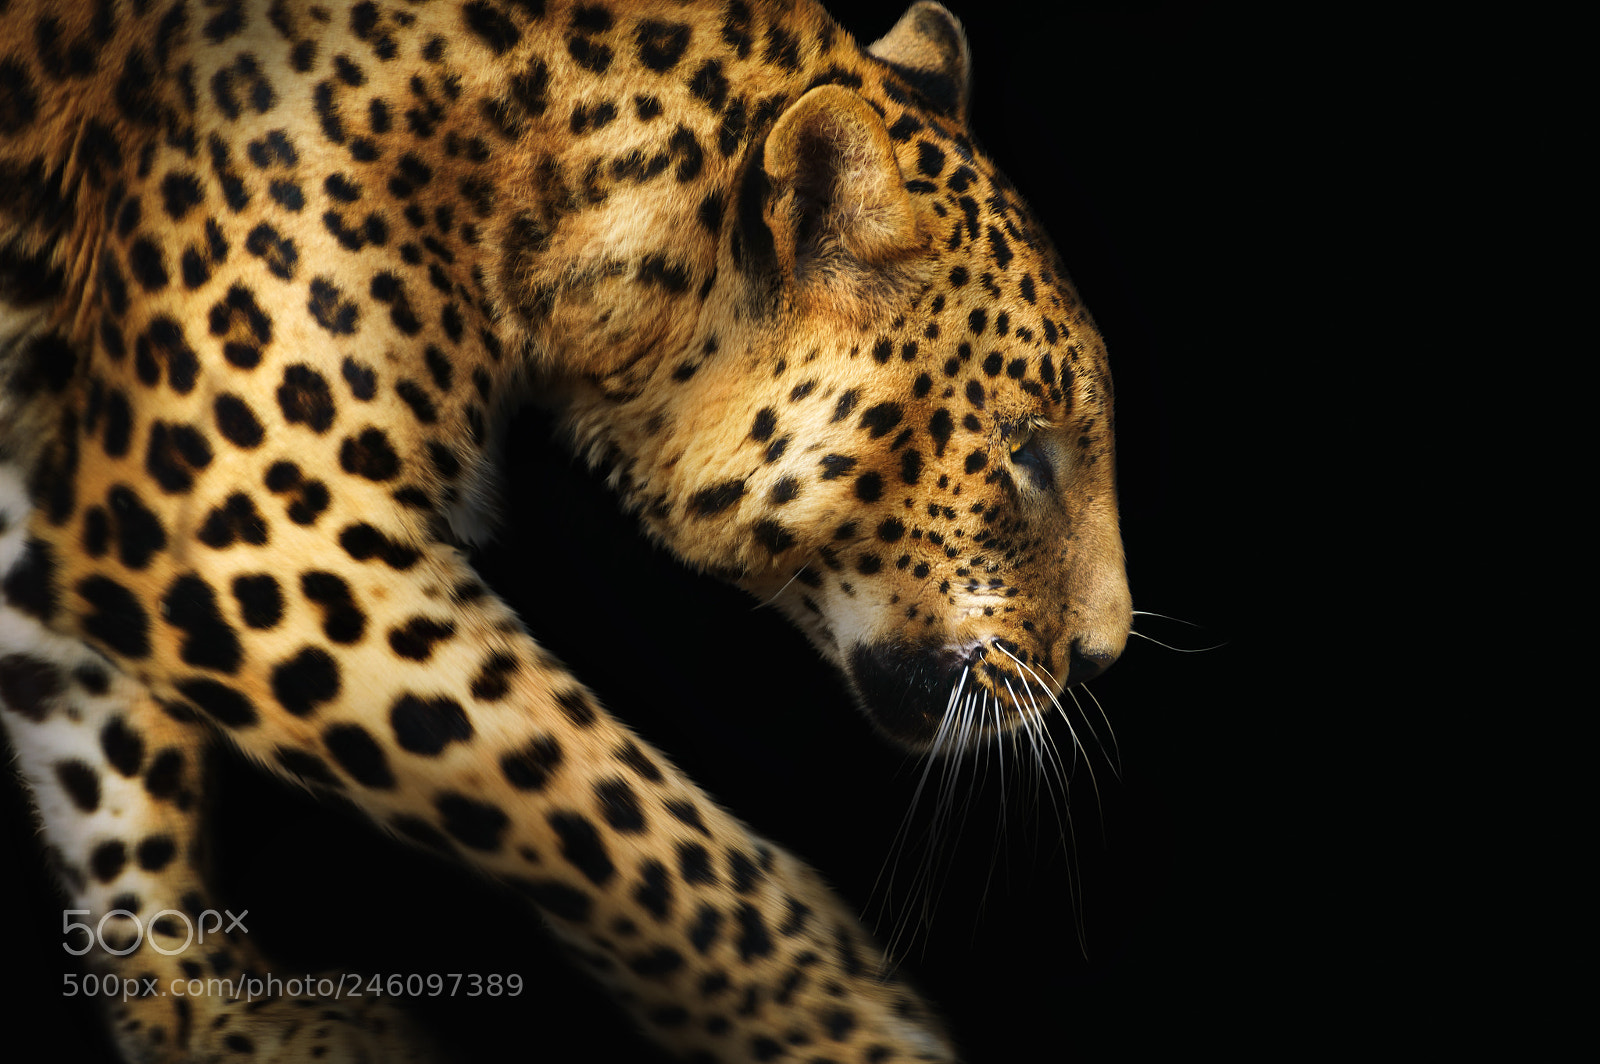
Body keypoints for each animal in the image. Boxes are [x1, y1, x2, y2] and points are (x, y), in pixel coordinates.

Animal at [0, 0, 1132, 1060]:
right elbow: (610, 805)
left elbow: (107, 758)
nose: (1103, 652)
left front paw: (203, 1017)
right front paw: (841, 1030)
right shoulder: (251, 517)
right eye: (1027, 450)